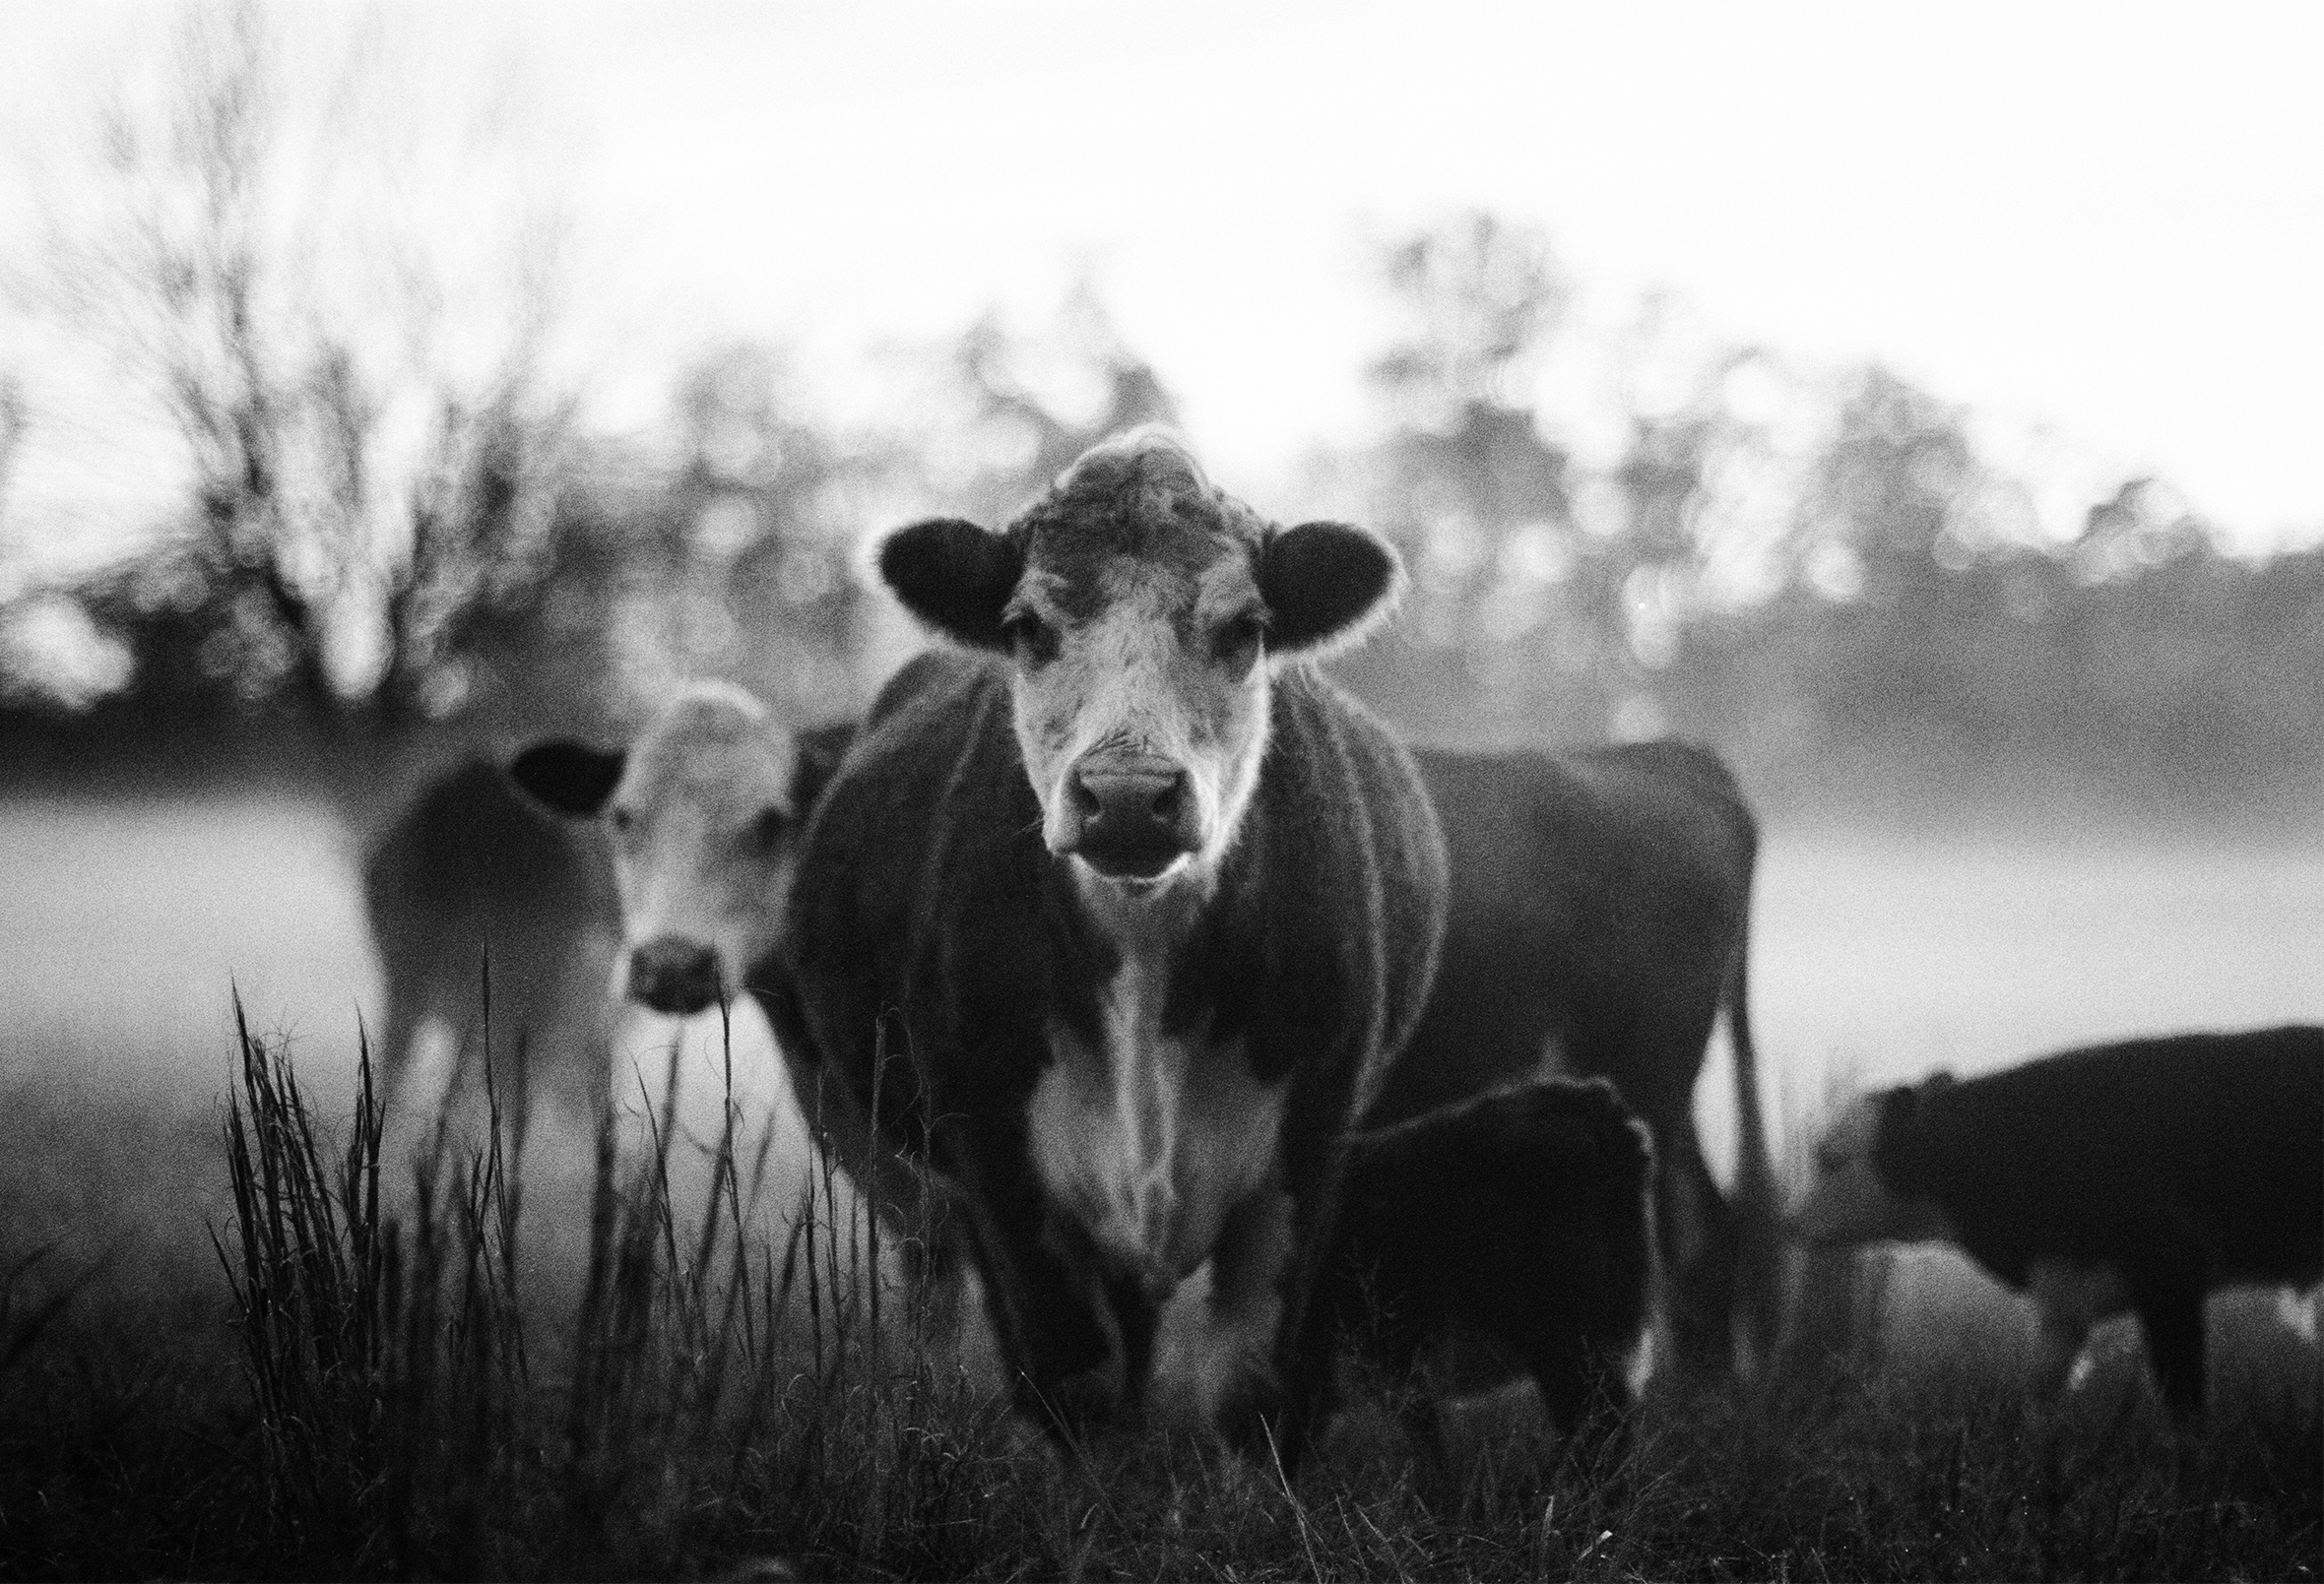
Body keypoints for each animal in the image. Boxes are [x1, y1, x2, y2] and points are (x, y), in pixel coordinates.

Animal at [762, 424, 1450, 1458]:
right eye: (1026, 627)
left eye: (1245, 629)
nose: (1128, 794)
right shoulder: (992, 1152)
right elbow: (1073, 1382)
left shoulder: (1312, 1143)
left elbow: (1252, 1391)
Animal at [1793, 1022, 2324, 1421]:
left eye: (1831, 1158)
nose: (1791, 1223)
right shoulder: (2064, 1294)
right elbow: (2039, 1396)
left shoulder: (2169, 1273)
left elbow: (2183, 1403)